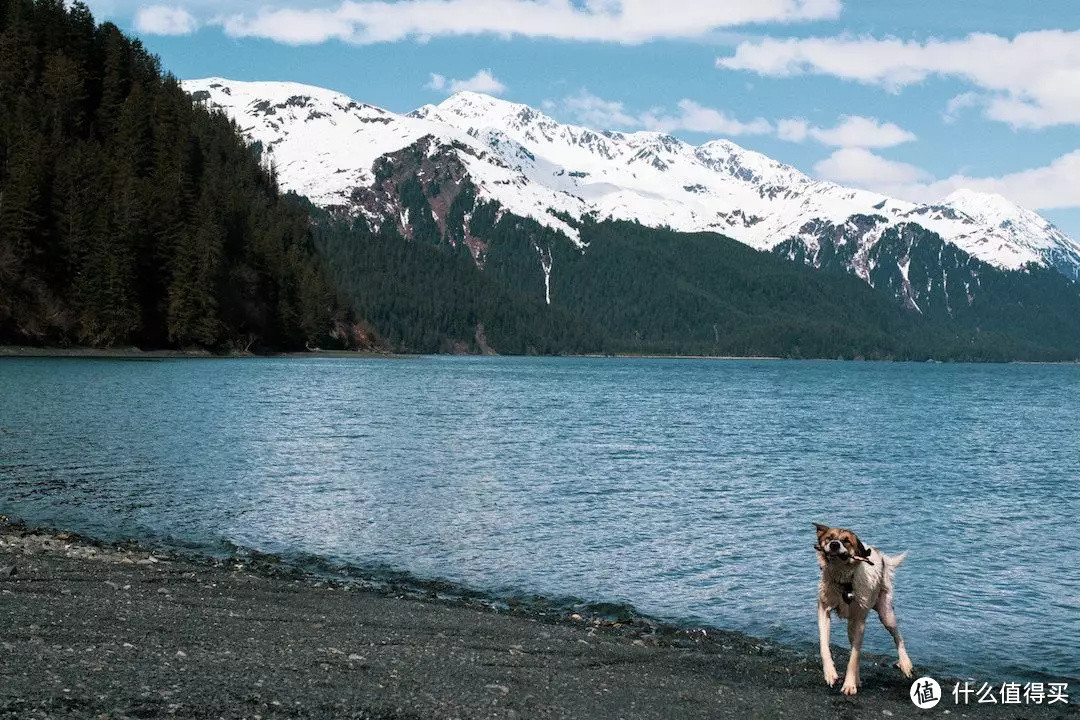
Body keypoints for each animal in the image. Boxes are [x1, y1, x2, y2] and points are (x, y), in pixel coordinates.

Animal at [812, 524, 911, 699]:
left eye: (846, 541)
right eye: (829, 538)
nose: (834, 545)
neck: (845, 580)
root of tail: (881, 556)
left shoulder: (859, 620)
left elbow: (854, 656)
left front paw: (849, 684)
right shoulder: (824, 609)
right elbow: (824, 645)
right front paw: (830, 673)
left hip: (886, 613)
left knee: (898, 637)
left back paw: (905, 663)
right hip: (851, 625)